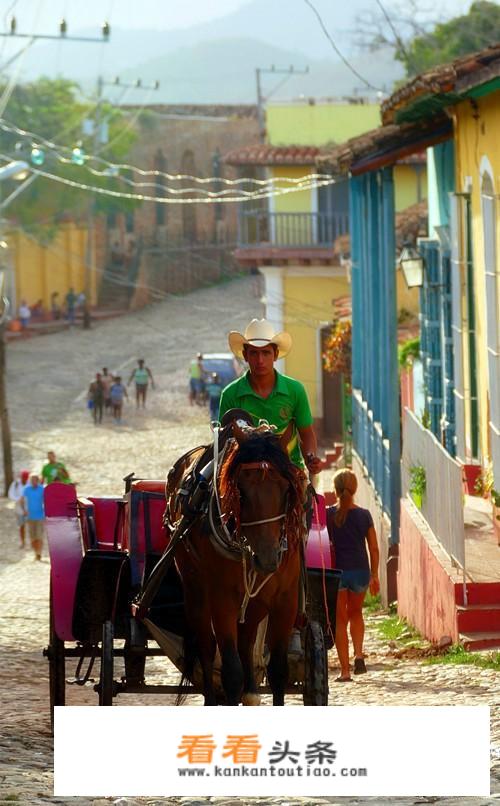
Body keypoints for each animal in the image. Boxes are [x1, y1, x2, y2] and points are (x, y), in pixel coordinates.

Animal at [170, 422, 306, 708]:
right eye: (241, 492)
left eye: (286, 490)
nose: (267, 558)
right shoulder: (223, 600)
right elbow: (232, 672)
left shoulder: (285, 601)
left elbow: (278, 670)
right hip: (196, 591)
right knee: (206, 647)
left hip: (254, 603)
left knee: (246, 641)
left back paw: (251, 693)